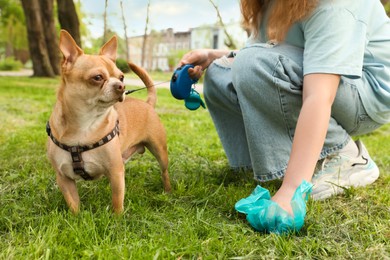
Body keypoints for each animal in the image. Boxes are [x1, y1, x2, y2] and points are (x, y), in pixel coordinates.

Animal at [46, 30, 171, 213]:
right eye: (97, 77)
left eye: (122, 77)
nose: (121, 86)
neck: (85, 124)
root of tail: (147, 103)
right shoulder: (64, 178)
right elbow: (73, 203)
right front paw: (76, 217)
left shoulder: (116, 171)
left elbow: (117, 200)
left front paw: (117, 218)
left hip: (159, 151)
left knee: (164, 172)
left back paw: (168, 190)